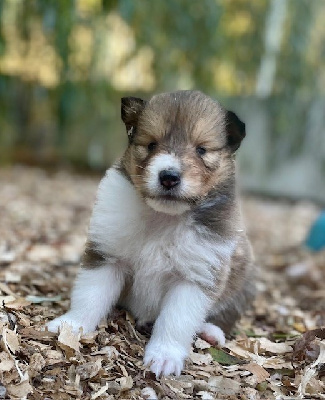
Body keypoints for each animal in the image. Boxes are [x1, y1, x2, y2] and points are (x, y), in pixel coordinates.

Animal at [48, 89, 256, 376]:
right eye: (151, 144)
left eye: (201, 149)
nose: (169, 176)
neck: (164, 217)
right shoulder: (107, 255)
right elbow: (89, 296)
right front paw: (71, 325)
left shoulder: (195, 277)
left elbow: (176, 320)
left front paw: (164, 357)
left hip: (243, 281)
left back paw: (210, 332)